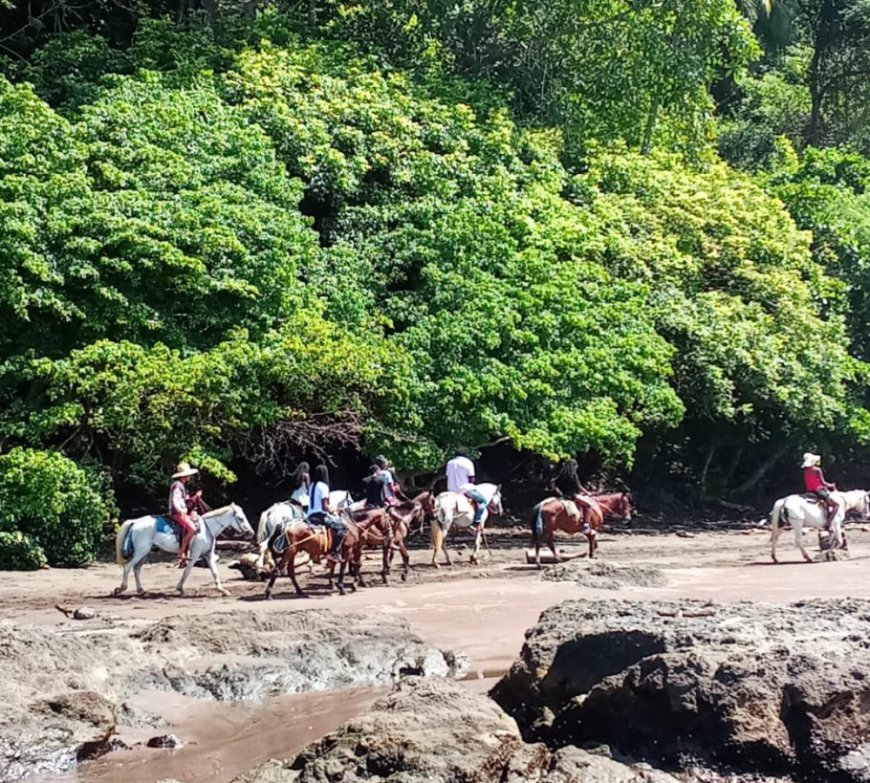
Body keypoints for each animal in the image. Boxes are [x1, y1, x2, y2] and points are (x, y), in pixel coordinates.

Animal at [114, 506, 254, 596]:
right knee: (128, 566)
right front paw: (180, 589)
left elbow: (215, 572)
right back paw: (121, 588)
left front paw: (222, 590)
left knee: (136, 568)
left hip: (145, 552)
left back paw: (141, 590)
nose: (251, 533)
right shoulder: (195, 555)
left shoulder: (208, 555)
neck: (206, 529)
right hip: (141, 551)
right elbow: (187, 571)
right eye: (240, 518)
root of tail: (135, 522)